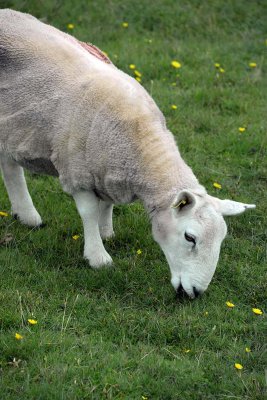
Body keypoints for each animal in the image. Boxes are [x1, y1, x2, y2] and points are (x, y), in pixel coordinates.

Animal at [0, 8, 256, 296]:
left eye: (221, 239)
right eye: (190, 237)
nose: (194, 294)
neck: (140, 149)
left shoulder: (108, 170)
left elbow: (106, 205)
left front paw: (106, 232)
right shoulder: (78, 170)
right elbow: (88, 212)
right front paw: (98, 256)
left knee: (9, 164)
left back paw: (26, 215)